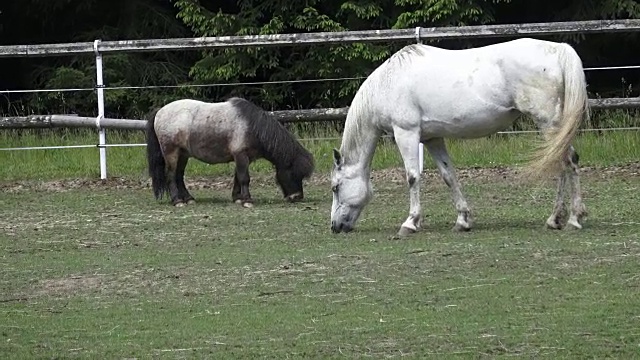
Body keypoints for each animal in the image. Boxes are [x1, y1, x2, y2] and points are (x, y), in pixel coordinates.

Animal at [146, 97, 316, 207]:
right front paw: (247, 201)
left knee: (179, 176)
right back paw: (177, 201)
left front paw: (237, 198)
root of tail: (160, 111)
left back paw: (188, 199)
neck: (252, 126)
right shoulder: (241, 155)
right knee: (170, 176)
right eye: (294, 173)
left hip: (183, 154)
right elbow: (245, 178)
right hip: (171, 153)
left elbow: (237, 178)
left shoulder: (243, 157)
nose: (297, 197)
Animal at [332, 37, 588, 236]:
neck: (387, 84)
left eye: (335, 187)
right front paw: (463, 220)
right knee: (568, 161)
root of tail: (558, 49)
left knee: (565, 162)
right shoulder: (432, 139)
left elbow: (412, 177)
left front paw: (410, 223)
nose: (335, 226)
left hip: (548, 123)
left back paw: (568, 219)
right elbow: (449, 176)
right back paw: (563, 218)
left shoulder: (406, 133)